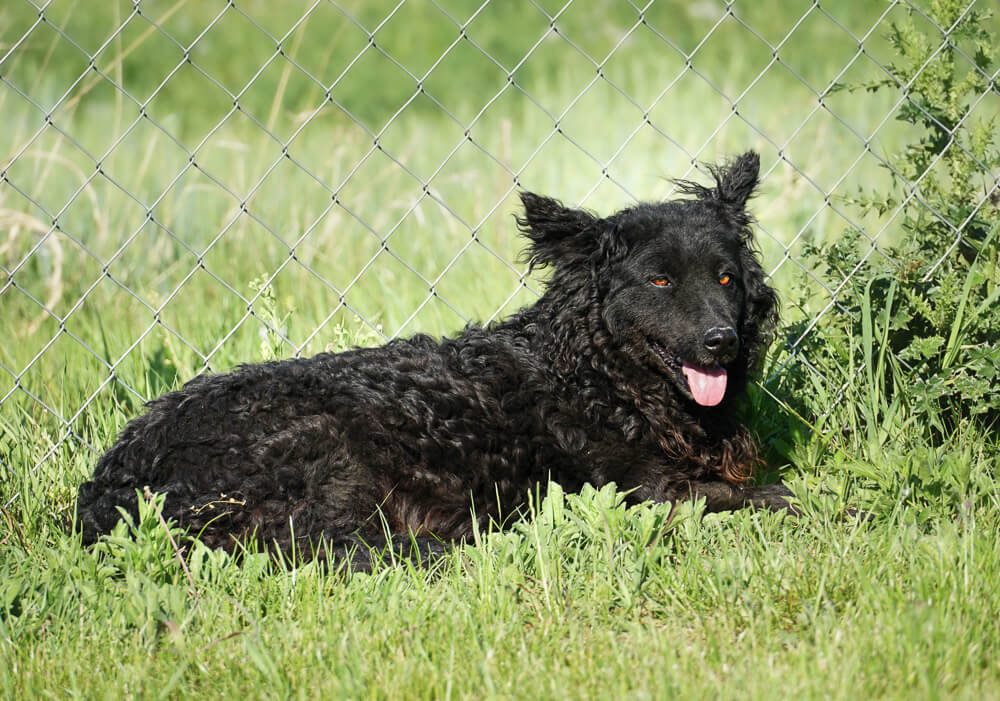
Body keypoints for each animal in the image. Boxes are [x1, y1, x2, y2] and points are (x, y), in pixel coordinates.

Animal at [77, 151, 791, 569]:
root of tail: (107, 486)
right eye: (661, 281)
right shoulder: (640, 490)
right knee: (335, 547)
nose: (721, 341)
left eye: (726, 279)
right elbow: (764, 495)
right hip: (326, 448)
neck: (592, 375)